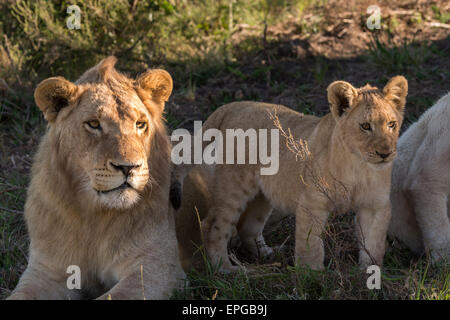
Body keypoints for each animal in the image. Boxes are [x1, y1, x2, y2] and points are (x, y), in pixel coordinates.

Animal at [8, 56, 185, 298]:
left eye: (140, 124)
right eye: (93, 124)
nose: (128, 167)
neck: (95, 217)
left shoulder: (156, 267)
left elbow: (113, 296)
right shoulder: (46, 270)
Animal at [172, 76, 408, 272]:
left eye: (391, 124)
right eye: (365, 126)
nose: (385, 153)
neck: (358, 165)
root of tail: (233, 105)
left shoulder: (375, 205)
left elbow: (374, 244)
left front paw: (369, 274)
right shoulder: (312, 203)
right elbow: (310, 245)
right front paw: (313, 276)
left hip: (262, 195)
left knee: (247, 225)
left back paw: (267, 255)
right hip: (233, 187)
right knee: (213, 226)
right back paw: (226, 269)